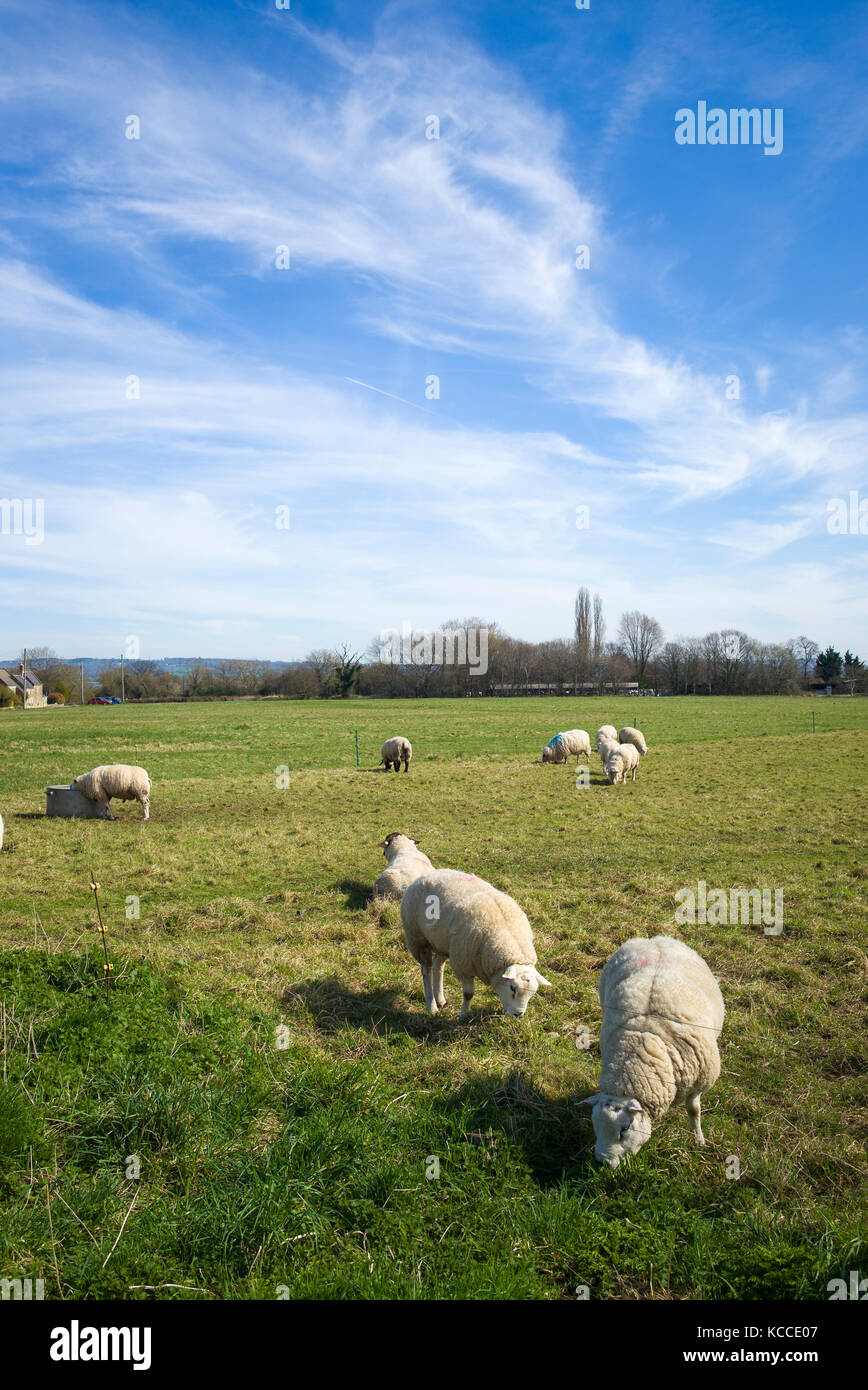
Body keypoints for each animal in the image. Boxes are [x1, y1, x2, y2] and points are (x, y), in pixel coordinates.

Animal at [400, 867, 548, 1023]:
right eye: (513, 988)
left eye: (532, 993)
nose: (518, 1014)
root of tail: (428, 874)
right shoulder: (463, 966)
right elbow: (468, 994)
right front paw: (464, 1016)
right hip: (417, 938)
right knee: (426, 971)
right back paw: (432, 1006)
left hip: (443, 942)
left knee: (438, 966)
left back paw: (440, 999)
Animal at [584, 934, 723, 1173]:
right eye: (594, 1126)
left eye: (624, 1129)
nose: (604, 1163)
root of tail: (655, 938)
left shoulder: (699, 1082)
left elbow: (694, 1110)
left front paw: (699, 1141)